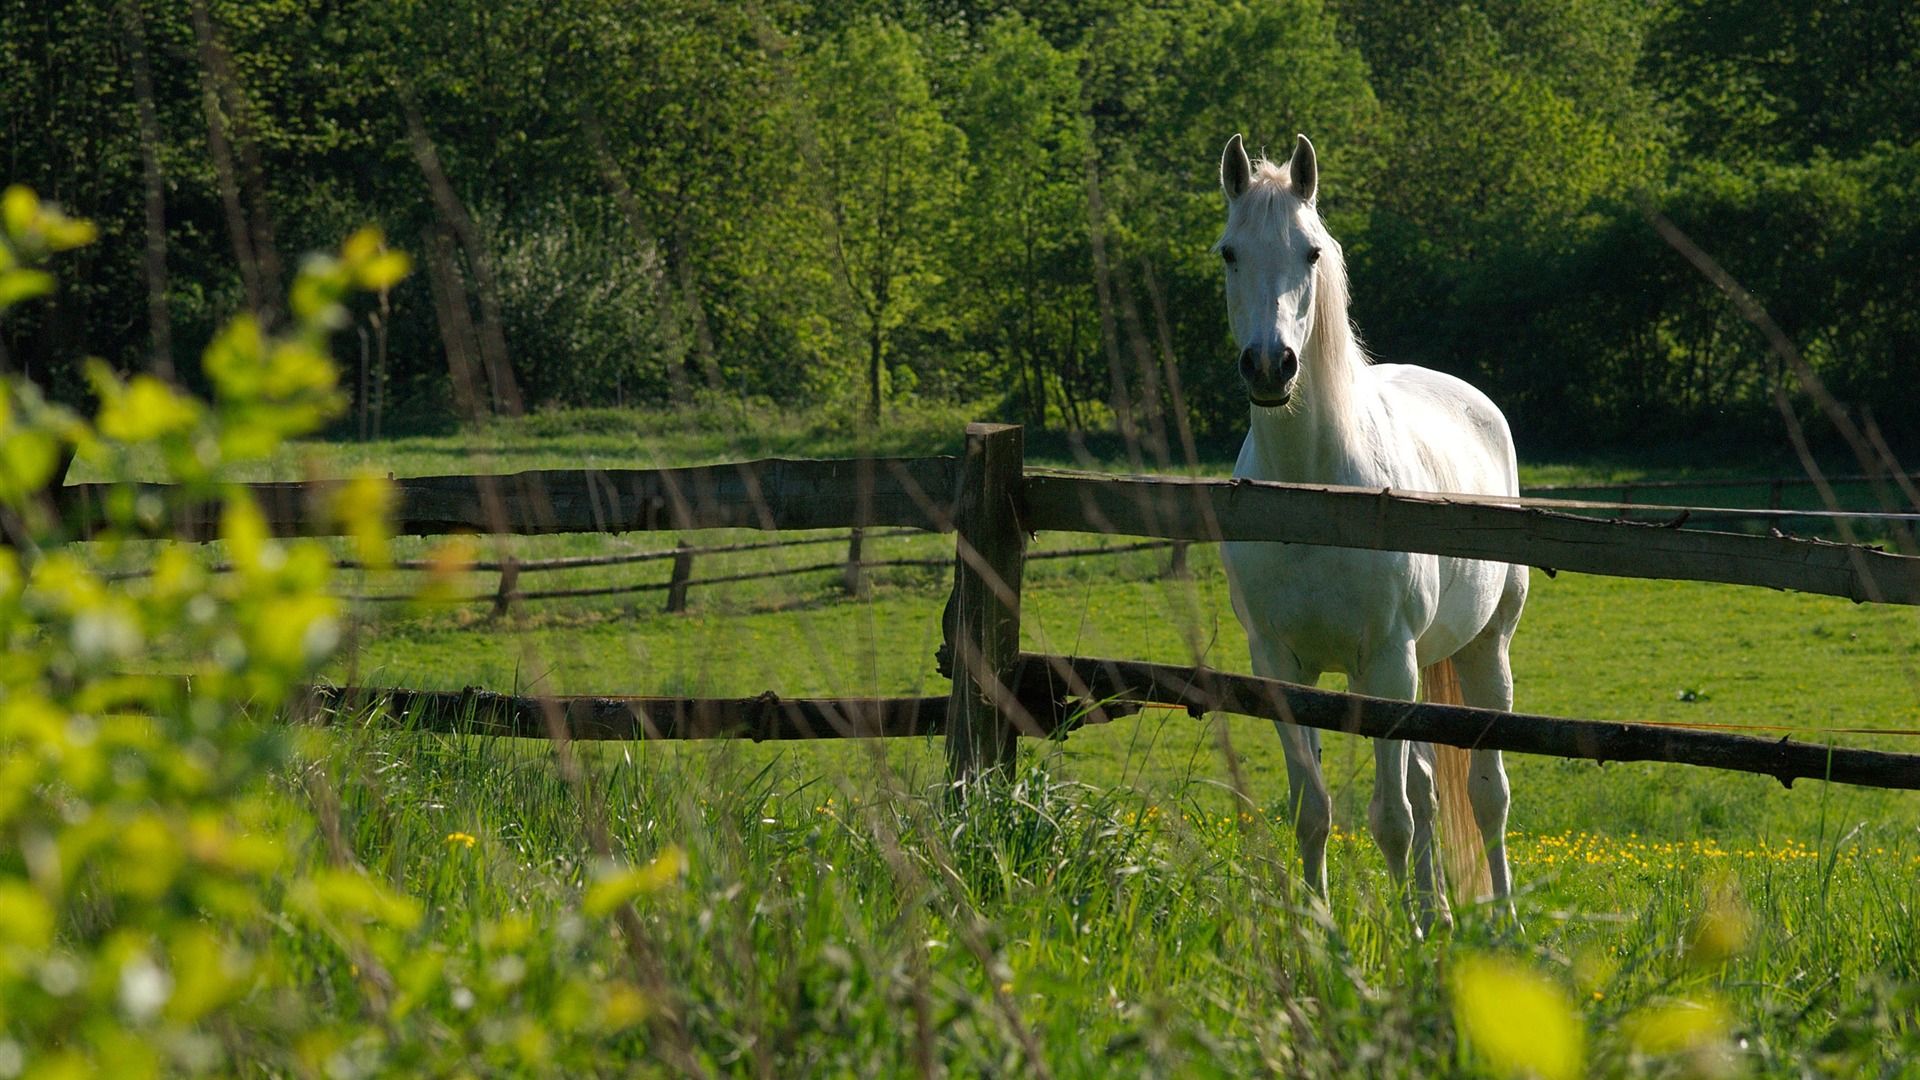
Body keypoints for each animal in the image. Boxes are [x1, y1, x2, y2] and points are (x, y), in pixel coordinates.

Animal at [1214, 132, 1527, 934]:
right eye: (1229, 253)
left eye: (1311, 252)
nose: (1270, 366)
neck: (1313, 497)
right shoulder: (1282, 668)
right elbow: (1313, 811)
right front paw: (1319, 935)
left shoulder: (1386, 663)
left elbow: (1393, 819)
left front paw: (1411, 938)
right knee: (1427, 789)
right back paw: (1441, 911)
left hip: (1480, 652)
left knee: (1485, 795)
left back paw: (1503, 923)